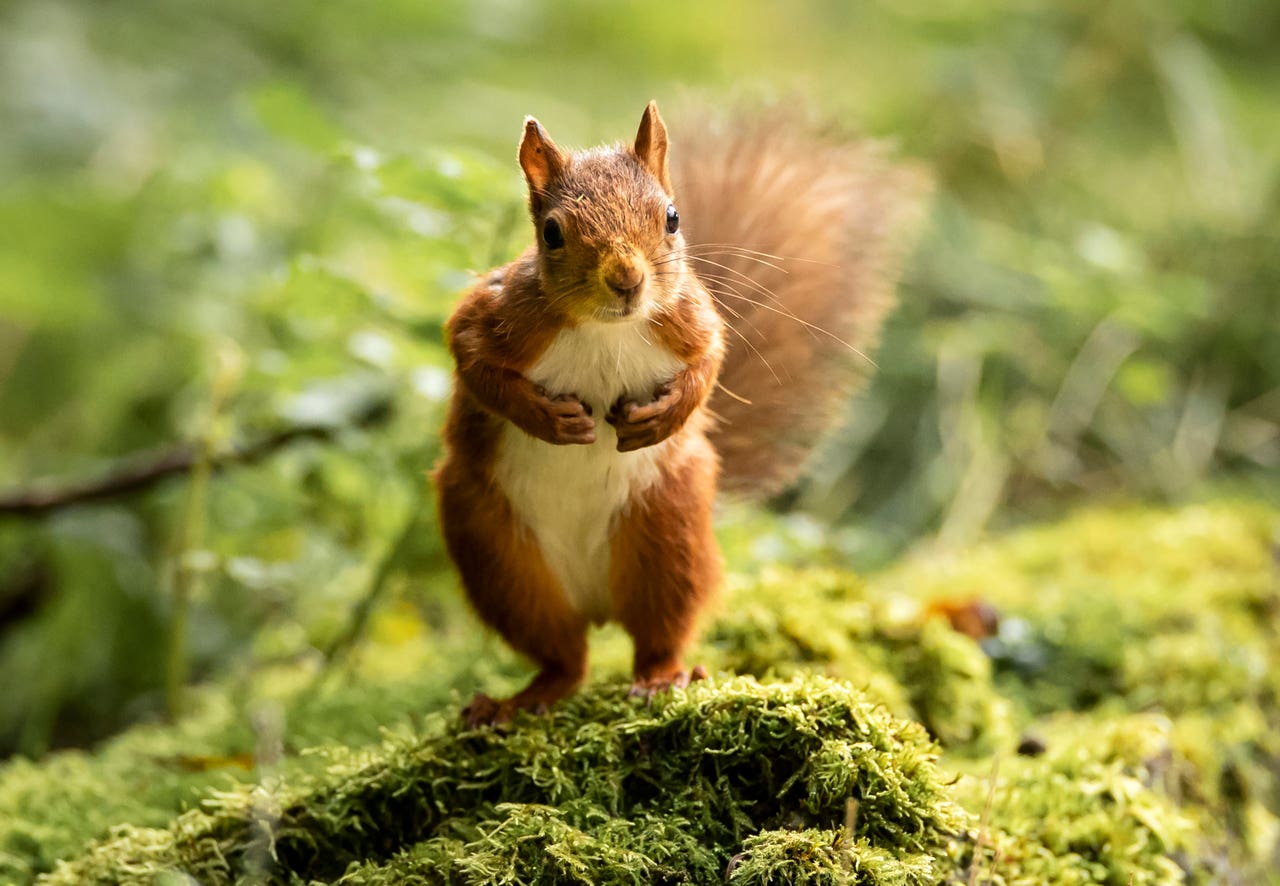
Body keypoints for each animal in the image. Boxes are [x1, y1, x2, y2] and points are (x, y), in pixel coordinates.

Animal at [435, 103, 926, 727]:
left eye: (671, 217)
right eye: (551, 233)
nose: (626, 280)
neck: (608, 328)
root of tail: (597, 602)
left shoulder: (692, 318)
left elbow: (710, 363)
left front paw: (663, 418)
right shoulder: (499, 315)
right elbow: (472, 359)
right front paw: (548, 419)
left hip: (668, 536)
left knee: (656, 633)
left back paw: (662, 678)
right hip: (500, 559)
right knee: (564, 658)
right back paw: (516, 702)